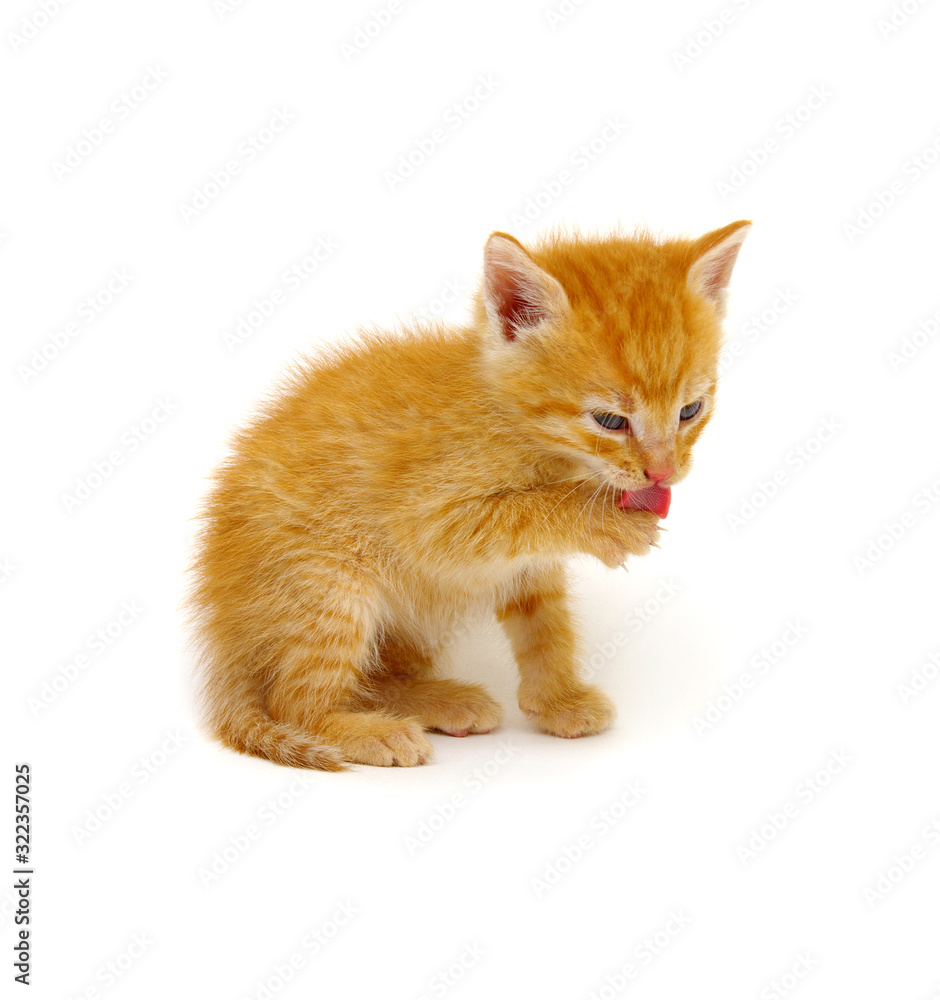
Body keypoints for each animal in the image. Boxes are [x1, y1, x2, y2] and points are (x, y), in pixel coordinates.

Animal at [189, 221, 748, 764]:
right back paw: (369, 733)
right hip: (327, 585)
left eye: (690, 411)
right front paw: (604, 524)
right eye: (610, 421)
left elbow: (545, 623)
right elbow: (525, 513)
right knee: (294, 702)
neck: (515, 422)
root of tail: (224, 638)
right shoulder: (429, 518)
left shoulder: (526, 565)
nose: (664, 473)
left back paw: (435, 701)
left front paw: (556, 700)